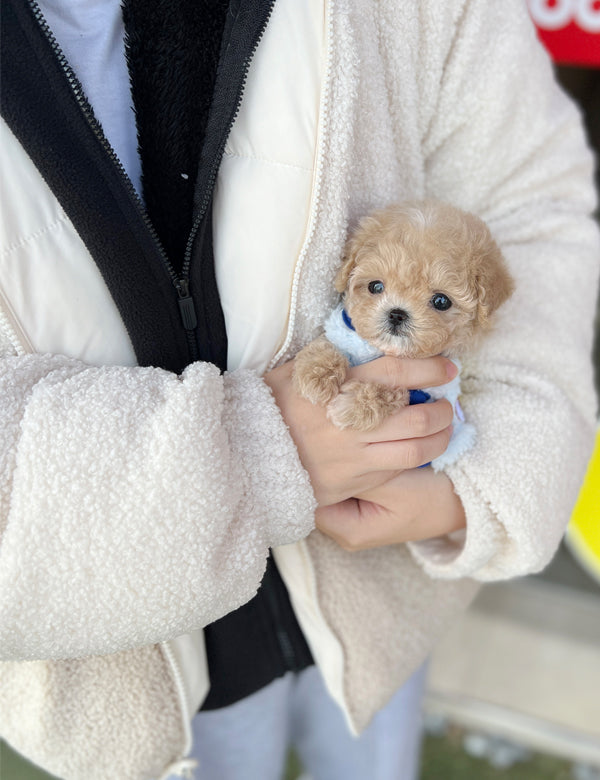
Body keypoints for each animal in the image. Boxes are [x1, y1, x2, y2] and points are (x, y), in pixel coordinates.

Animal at [292, 204, 512, 464]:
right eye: (375, 286)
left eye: (441, 301)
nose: (397, 314)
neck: (387, 350)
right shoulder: (344, 333)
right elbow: (327, 342)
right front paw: (314, 374)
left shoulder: (424, 394)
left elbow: (395, 392)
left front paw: (354, 405)